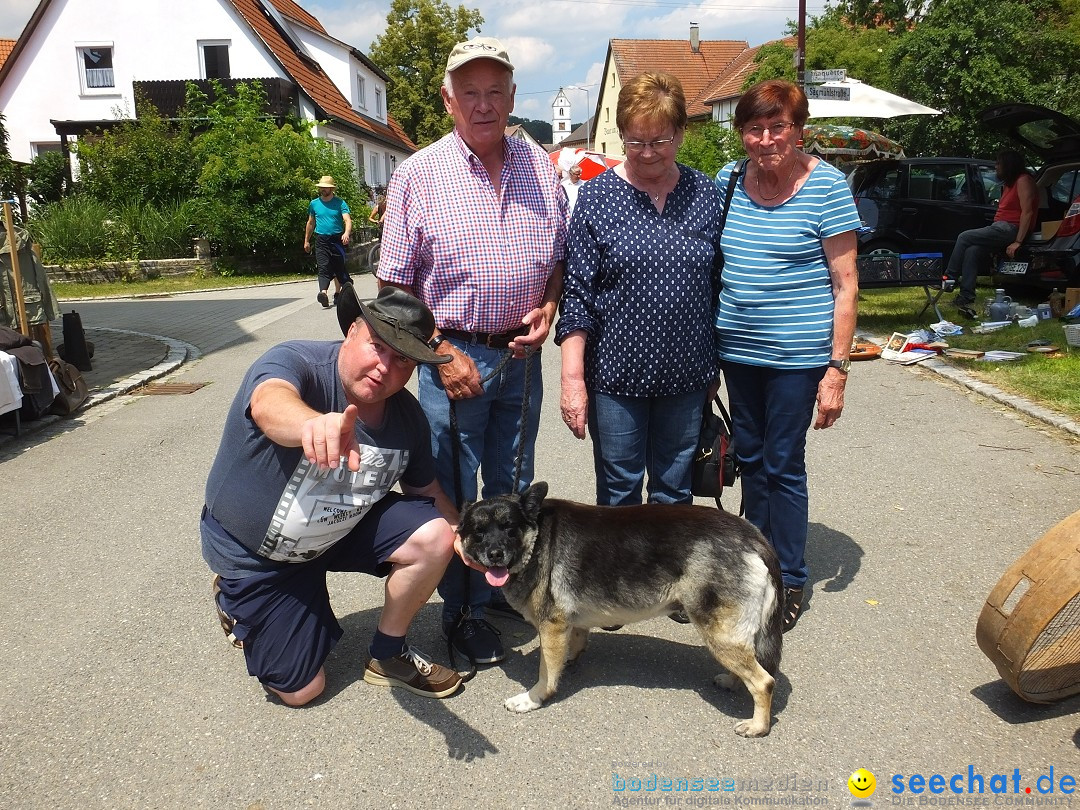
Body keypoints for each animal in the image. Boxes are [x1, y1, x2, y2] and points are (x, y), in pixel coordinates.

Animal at [457, 486, 786, 738]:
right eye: (479, 532)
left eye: (509, 528)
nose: (495, 554)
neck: (536, 538)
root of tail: (753, 536)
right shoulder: (569, 624)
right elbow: (574, 643)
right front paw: (569, 660)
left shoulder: (551, 626)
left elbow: (546, 674)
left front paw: (533, 699)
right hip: (730, 635)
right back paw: (732, 680)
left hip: (719, 633)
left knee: (764, 681)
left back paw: (758, 726)